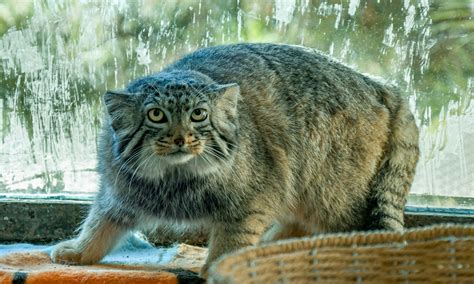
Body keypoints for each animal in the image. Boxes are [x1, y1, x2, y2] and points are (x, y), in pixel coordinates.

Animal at [51, 42, 418, 278]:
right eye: (156, 115)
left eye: (199, 115)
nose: (181, 138)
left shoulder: (252, 200)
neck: (174, 180)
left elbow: (230, 240)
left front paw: (217, 269)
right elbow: (100, 222)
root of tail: (380, 84)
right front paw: (79, 250)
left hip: (329, 187)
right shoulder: (120, 190)